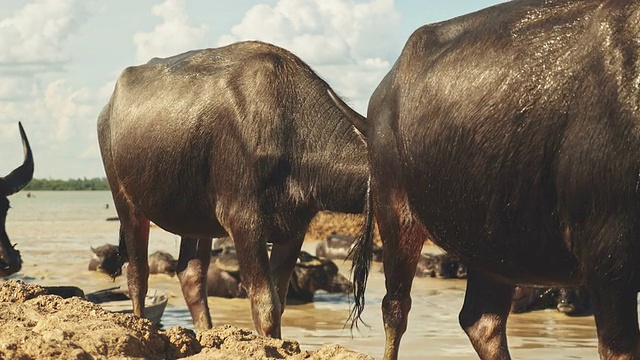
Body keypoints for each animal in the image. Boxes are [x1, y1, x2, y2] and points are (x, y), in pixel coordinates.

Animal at [95, 40, 364, 336]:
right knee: (137, 273)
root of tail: (107, 110)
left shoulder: (295, 229)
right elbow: (266, 304)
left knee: (191, 276)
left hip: (196, 219)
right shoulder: (245, 223)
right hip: (126, 201)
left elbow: (279, 300)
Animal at [340, 1, 640, 358]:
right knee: (396, 307)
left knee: (482, 320)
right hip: (395, 210)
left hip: (494, 241)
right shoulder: (608, 247)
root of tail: (376, 106)